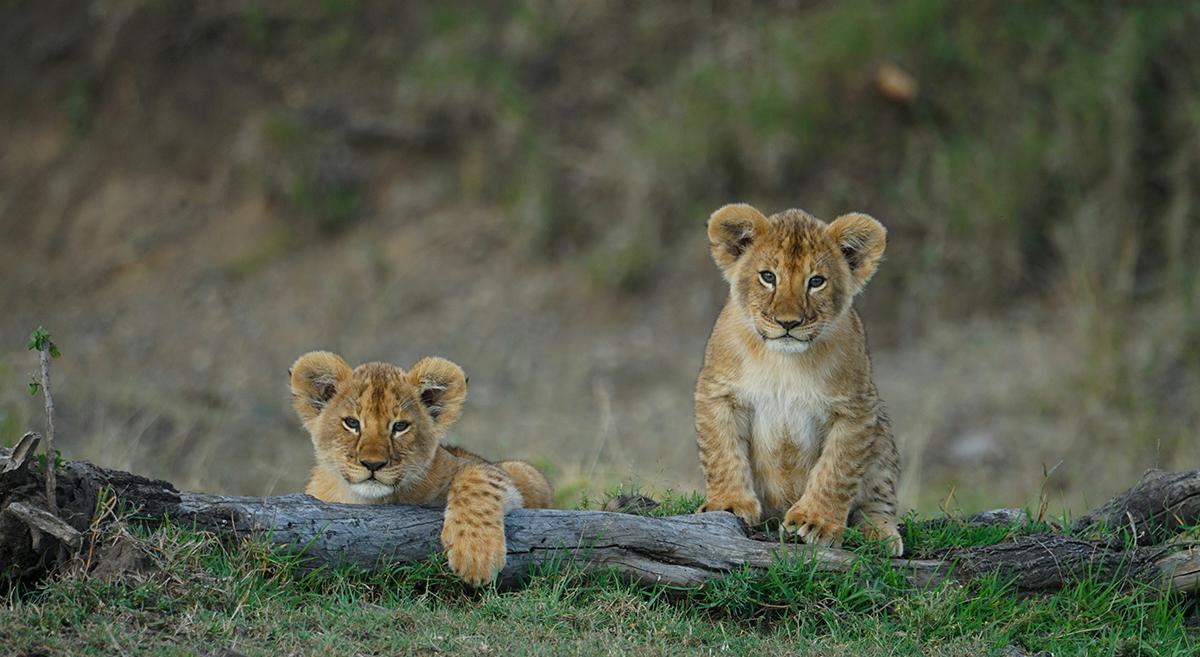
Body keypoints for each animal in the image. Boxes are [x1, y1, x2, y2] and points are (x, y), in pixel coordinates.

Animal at [289, 351, 553, 585]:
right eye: (352, 423)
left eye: (400, 426)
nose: (373, 464)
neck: (372, 501)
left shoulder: (493, 470)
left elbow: (479, 480)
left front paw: (476, 555)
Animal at [694, 203, 903, 556]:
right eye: (768, 277)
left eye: (816, 281)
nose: (788, 323)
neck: (784, 363)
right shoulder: (718, 393)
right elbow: (722, 453)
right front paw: (729, 503)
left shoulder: (857, 409)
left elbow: (837, 470)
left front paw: (816, 522)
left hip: (882, 432)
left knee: (879, 498)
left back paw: (881, 534)